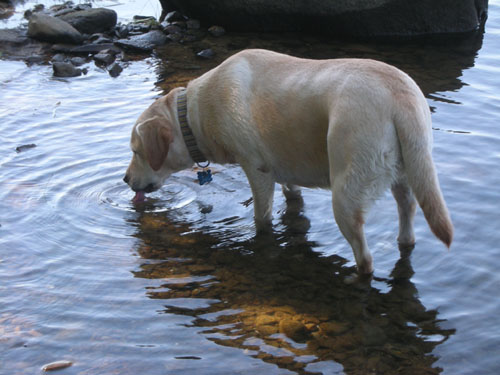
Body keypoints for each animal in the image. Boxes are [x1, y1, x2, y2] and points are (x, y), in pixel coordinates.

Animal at [124, 48, 454, 274]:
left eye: (136, 151)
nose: (125, 180)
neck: (194, 115)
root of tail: (401, 98)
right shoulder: (284, 172)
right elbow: (293, 196)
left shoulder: (257, 169)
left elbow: (261, 219)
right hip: (407, 172)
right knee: (407, 215)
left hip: (346, 194)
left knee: (365, 258)